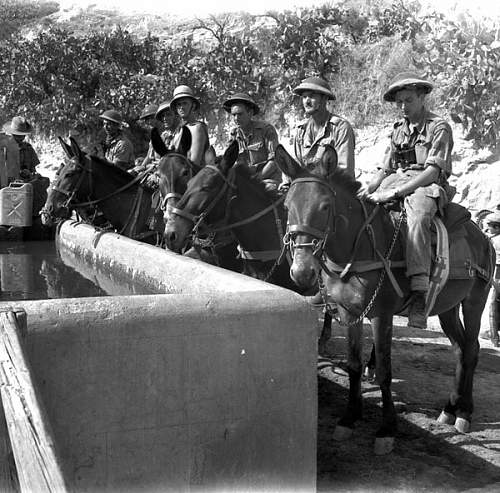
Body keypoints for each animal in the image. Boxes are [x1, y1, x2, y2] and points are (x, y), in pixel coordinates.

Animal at [276, 142, 494, 454]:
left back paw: (464, 412)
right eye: (286, 206)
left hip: (475, 300)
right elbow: (354, 365)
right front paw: (349, 417)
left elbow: (383, 371)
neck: (358, 247)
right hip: (448, 308)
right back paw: (450, 409)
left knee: (473, 349)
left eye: (325, 206)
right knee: (460, 349)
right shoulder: (350, 312)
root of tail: (483, 236)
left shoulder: (381, 314)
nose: (302, 271)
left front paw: (386, 428)